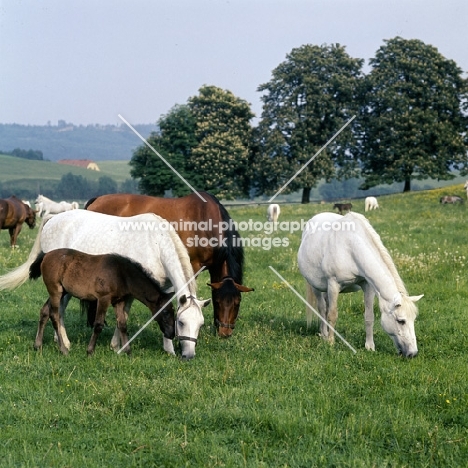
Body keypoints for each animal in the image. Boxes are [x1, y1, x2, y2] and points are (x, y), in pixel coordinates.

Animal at [29, 250, 176, 356]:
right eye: (165, 312)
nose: (171, 334)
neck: (121, 274)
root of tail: (46, 255)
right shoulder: (103, 299)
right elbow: (98, 324)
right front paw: (90, 351)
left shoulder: (119, 301)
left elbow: (122, 325)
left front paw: (128, 352)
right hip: (55, 291)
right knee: (54, 316)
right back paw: (63, 349)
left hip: (61, 292)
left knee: (44, 311)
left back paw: (37, 345)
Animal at [84, 192, 252, 338]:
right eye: (218, 302)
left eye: (237, 303)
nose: (225, 333)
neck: (205, 220)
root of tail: (97, 199)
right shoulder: (192, 265)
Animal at [300, 212, 424, 358]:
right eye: (401, 321)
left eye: (414, 319)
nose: (413, 353)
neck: (351, 247)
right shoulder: (333, 284)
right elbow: (332, 314)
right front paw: (330, 342)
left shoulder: (367, 285)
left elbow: (369, 317)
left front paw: (369, 346)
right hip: (316, 286)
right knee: (322, 308)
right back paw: (324, 334)